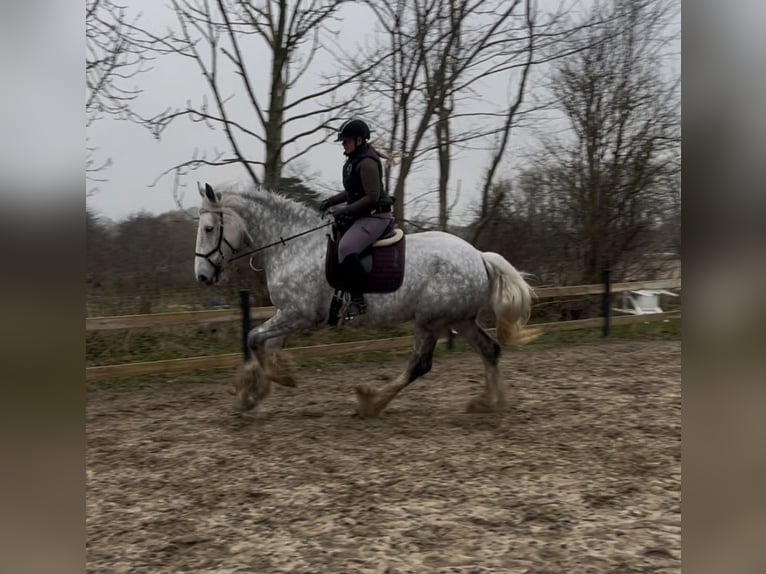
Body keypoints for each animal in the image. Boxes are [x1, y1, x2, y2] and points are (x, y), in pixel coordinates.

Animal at [195, 182, 536, 416]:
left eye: (209, 228)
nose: (202, 276)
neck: (295, 246)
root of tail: (479, 256)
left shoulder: (298, 315)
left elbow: (254, 338)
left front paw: (276, 380)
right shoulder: (288, 315)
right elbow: (266, 346)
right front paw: (251, 393)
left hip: (431, 321)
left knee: (420, 365)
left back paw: (370, 403)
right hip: (459, 320)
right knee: (489, 350)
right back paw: (488, 403)